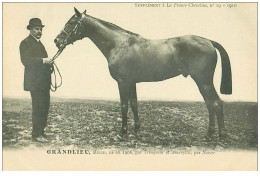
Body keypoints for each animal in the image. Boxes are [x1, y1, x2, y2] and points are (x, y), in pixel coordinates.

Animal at [54, 7, 232, 140]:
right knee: (210, 104)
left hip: (203, 81)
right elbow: (134, 104)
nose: (57, 41)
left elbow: (124, 106)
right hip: (202, 82)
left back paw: (220, 135)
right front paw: (137, 131)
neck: (119, 44)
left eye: (71, 22)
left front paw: (123, 132)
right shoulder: (132, 82)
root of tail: (209, 41)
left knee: (216, 103)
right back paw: (209, 134)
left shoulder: (123, 82)